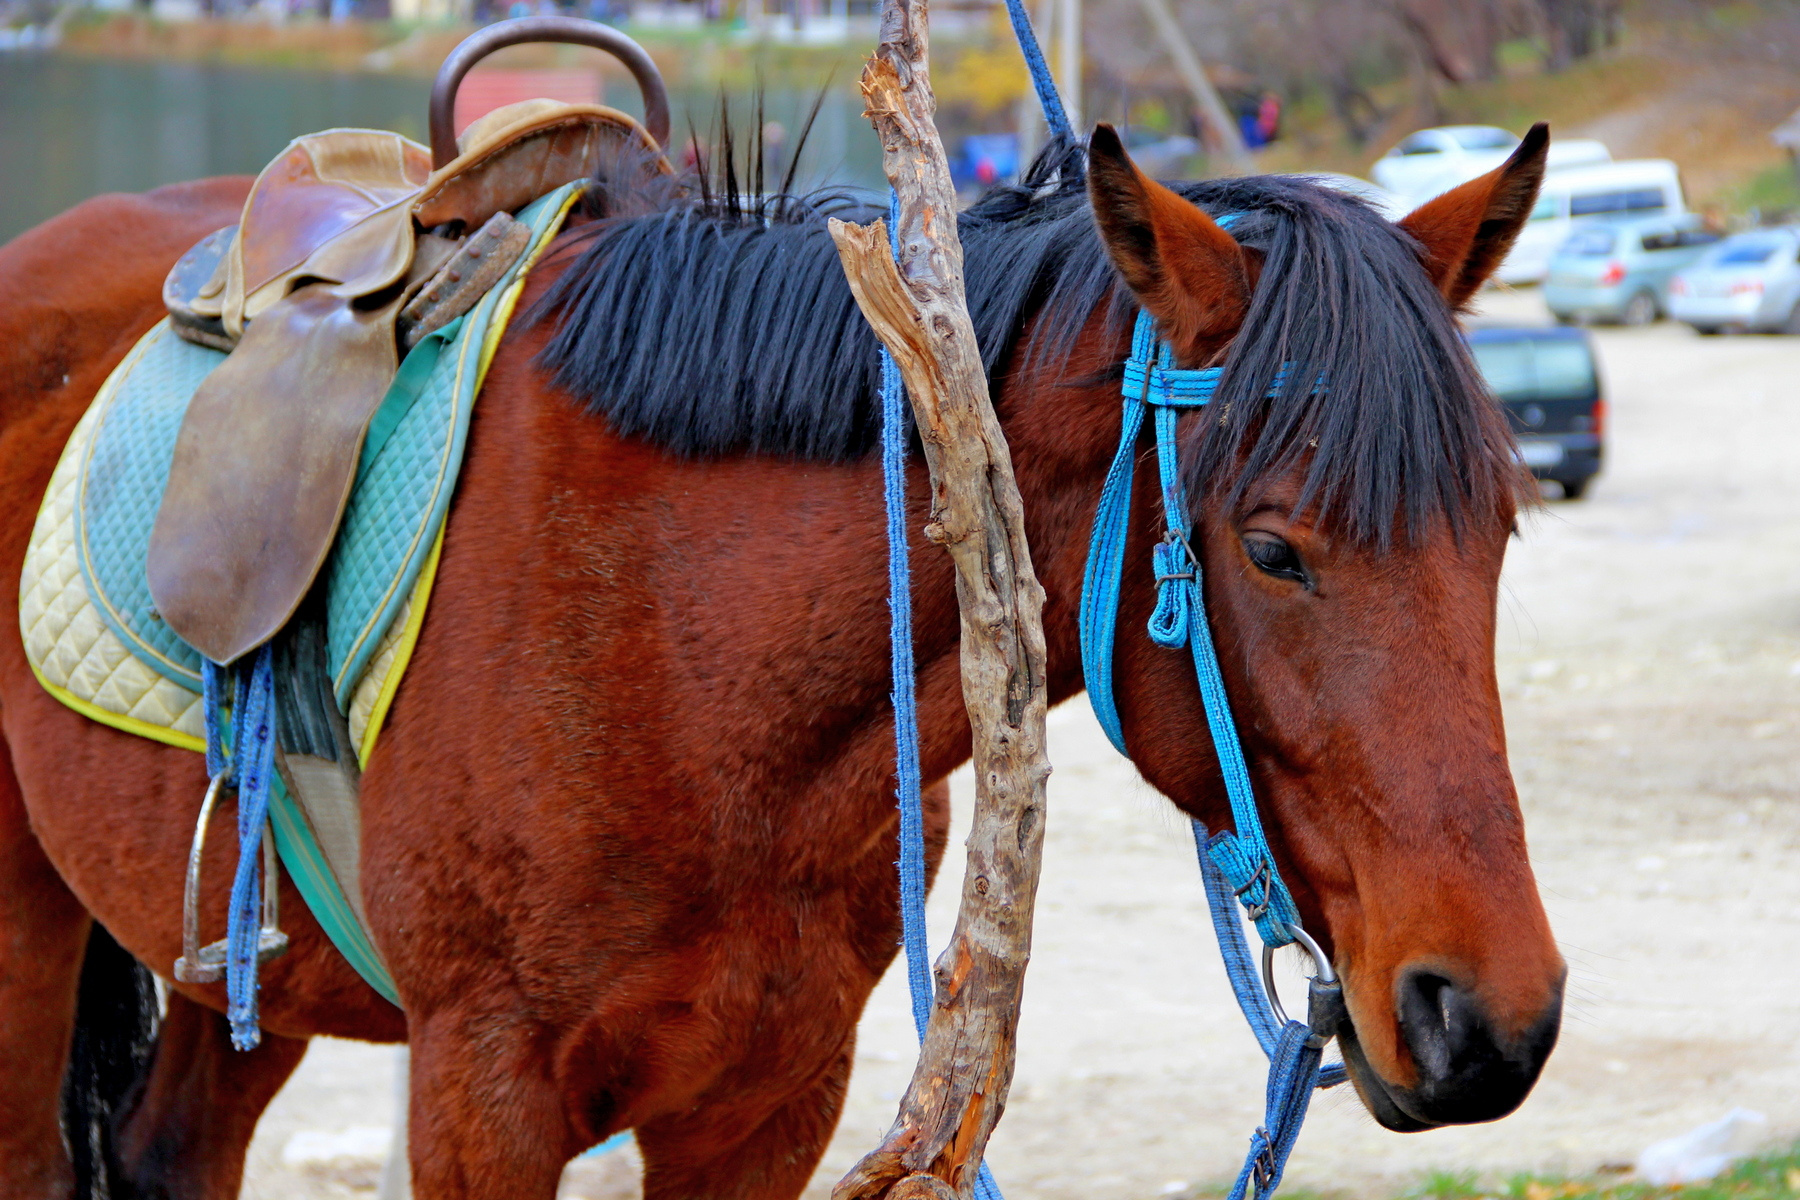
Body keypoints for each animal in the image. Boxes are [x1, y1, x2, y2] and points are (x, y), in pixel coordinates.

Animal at [0, 121, 1565, 1199]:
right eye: (1273, 548)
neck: (674, 649)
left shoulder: (771, 1099)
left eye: (1500, 530)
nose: (1492, 1019)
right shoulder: (480, 1098)